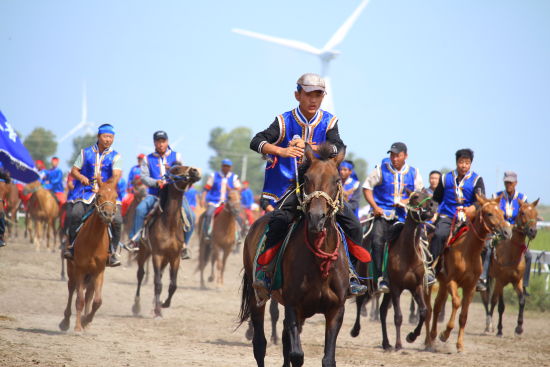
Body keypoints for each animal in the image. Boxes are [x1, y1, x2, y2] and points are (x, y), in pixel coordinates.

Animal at [58, 176, 118, 334]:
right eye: (99, 195)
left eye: (116, 197)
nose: (108, 215)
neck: (93, 240)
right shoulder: (80, 270)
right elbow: (79, 300)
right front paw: (78, 326)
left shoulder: (99, 271)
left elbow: (97, 301)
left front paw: (86, 321)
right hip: (71, 269)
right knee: (71, 289)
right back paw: (65, 321)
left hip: (91, 276)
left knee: (89, 294)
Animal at [133, 165, 202, 318]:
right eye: (176, 169)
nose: (195, 171)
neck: (169, 225)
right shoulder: (157, 255)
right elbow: (158, 284)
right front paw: (158, 310)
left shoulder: (175, 257)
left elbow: (173, 285)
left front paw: (164, 304)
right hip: (144, 252)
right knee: (140, 275)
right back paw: (137, 305)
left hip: (165, 259)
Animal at [239, 144, 352, 367]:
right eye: (306, 178)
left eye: (337, 180)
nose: (317, 218)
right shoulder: (293, 306)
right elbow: (296, 355)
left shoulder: (336, 310)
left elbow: (327, 359)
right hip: (258, 297)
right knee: (260, 344)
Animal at [426, 194, 512, 352]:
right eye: (489, 213)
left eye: (502, 213)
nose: (507, 232)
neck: (467, 251)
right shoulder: (452, 281)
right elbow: (456, 302)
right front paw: (445, 334)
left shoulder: (470, 287)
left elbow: (463, 316)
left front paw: (460, 345)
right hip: (431, 285)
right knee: (428, 310)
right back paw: (428, 342)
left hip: (442, 284)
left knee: (437, 306)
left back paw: (432, 337)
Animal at [486, 200, 540, 338]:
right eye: (522, 212)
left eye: (536, 214)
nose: (532, 231)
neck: (510, 252)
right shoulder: (501, 281)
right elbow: (501, 306)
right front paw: (500, 330)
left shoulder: (517, 281)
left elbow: (522, 300)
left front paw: (519, 328)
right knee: (491, 300)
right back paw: (489, 326)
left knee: (492, 300)